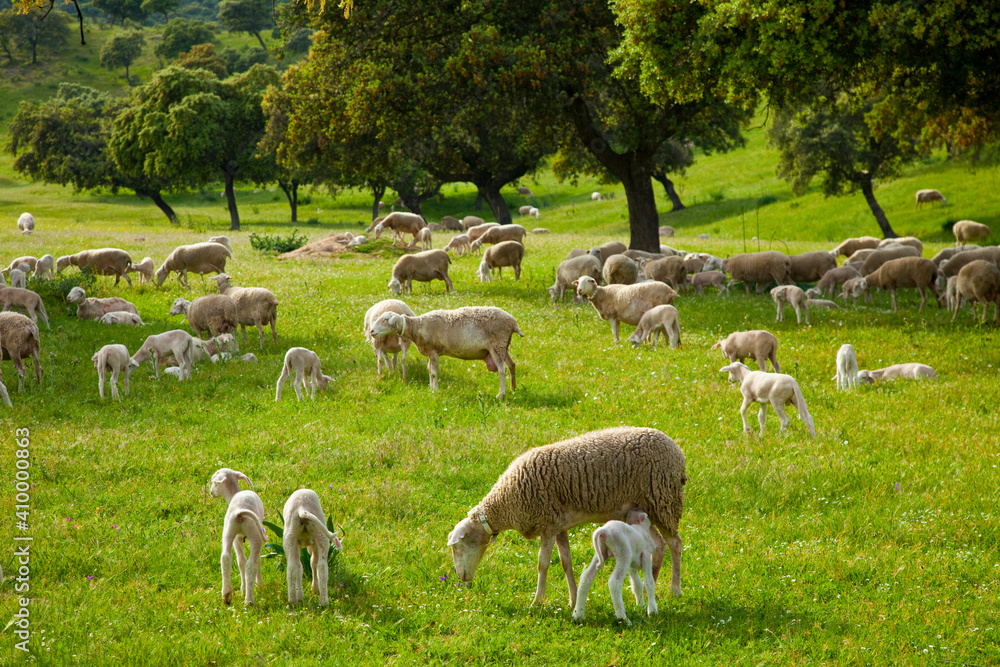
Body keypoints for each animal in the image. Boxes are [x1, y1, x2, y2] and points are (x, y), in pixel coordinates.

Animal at [209, 468, 265, 606]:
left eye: (214, 482)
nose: (211, 492)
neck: (234, 493)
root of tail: (239, 512)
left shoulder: (237, 538)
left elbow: (240, 561)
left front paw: (242, 589)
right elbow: (256, 560)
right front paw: (259, 584)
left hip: (228, 531)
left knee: (226, 558)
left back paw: (227, 595)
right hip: (255, 535)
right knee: (251, 564)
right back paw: (249, 600)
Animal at [370, 306, 522, 398]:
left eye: (385, 320)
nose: (371, 331)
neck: (417, 326)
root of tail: (513, 322)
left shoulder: (434, 352)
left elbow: (434, 372)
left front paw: (435, 390)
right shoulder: (430, 352)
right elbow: (429, 370)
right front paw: (431, 389)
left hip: (497, 345)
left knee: (502, 370)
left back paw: (501, 394)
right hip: (503, 346)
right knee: (512, 365)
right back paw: (513, 388)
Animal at [446, 426, 686, 607]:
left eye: (457, 547)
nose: (462, 578)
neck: (506, 502)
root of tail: (678, 451)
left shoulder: (548, 525)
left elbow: (543, 563)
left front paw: (537, 602)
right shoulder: (559, 525)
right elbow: (566, 562)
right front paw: (573, 599)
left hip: (664, 501)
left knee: (675, 543)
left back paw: (675, 590)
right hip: (646, 509)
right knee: (659, 544)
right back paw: (651, 582)